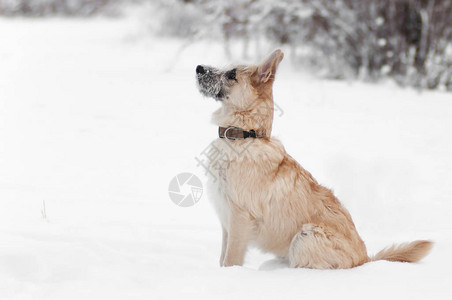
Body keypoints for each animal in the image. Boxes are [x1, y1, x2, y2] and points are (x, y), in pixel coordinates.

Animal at [193, 49, 430, 270]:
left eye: (232, 74)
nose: (198, 68)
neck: (246, 135)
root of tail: (364, 260)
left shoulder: (239, 218)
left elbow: (230, 260)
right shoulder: (226, 220)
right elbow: (222, 258)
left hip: (305, 236)